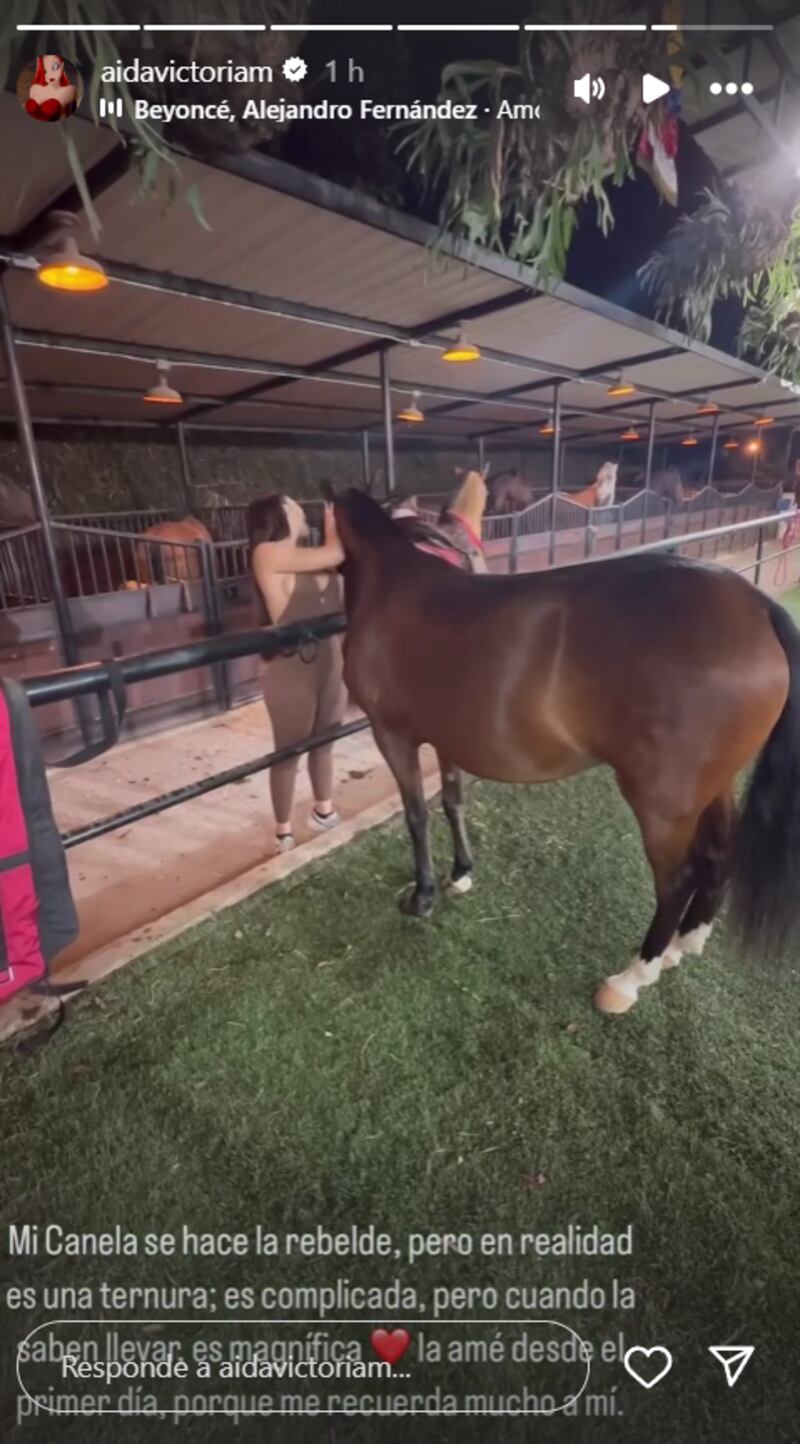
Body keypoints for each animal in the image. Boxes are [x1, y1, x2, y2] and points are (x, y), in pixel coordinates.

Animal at [333, 487, 800, 1015]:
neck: (396, 586)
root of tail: (759, 608)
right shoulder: (441, 735)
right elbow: (452, 800)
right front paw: (461, 874)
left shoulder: (392, 734)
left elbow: (416, 815)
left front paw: (422, 896)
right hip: (712, 784)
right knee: (721, 853)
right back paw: (685, 944)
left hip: (663, 805)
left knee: (677, 879)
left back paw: (631, 979)